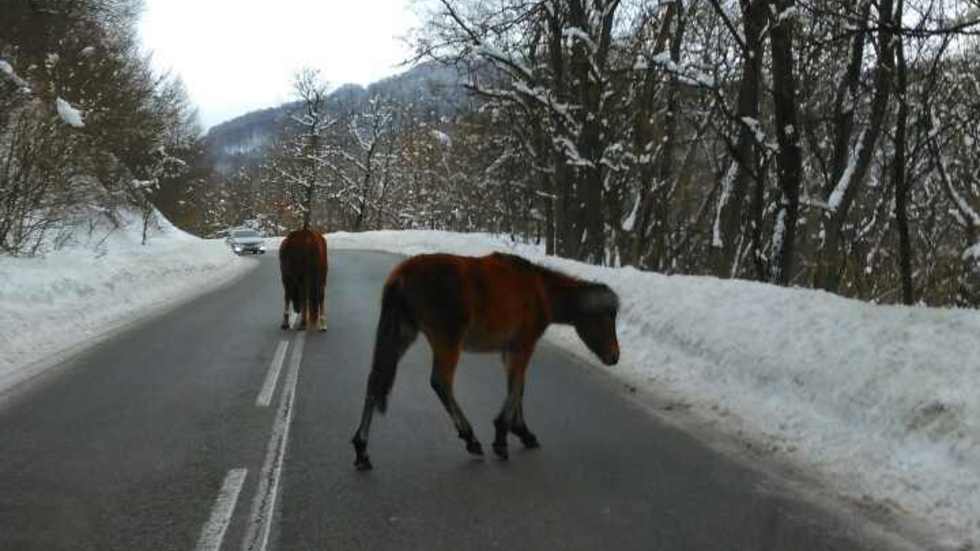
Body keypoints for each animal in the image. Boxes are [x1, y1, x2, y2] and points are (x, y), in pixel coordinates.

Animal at [348, 252, 616, 472]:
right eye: (606, 317)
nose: (615, 356)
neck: (541, 290)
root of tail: (401, 276)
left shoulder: (510, 351)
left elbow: (517, 387)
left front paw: (521, 431)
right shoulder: (523, 346)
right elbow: (516, 388)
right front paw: (502, 435)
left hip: (401, 333)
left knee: (375, 380)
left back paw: (362, 448)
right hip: (447, 340)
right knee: (441, 383)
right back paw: (470, 438)